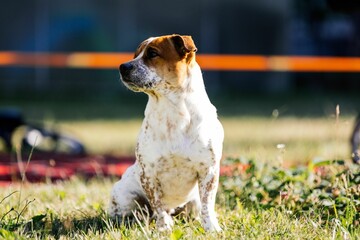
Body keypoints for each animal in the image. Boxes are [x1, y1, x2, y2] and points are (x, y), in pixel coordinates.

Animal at [108, 33, 224, 232]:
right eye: (135, 55)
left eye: (153, 53)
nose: (123, 67)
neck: (174, 113)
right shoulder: (149, 173)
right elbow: (158, 206)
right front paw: (163, 229)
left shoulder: (208, 170)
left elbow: (208, 205)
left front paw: (212, 228)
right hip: (124, 196)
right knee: (137, 213)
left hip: (193, 202)